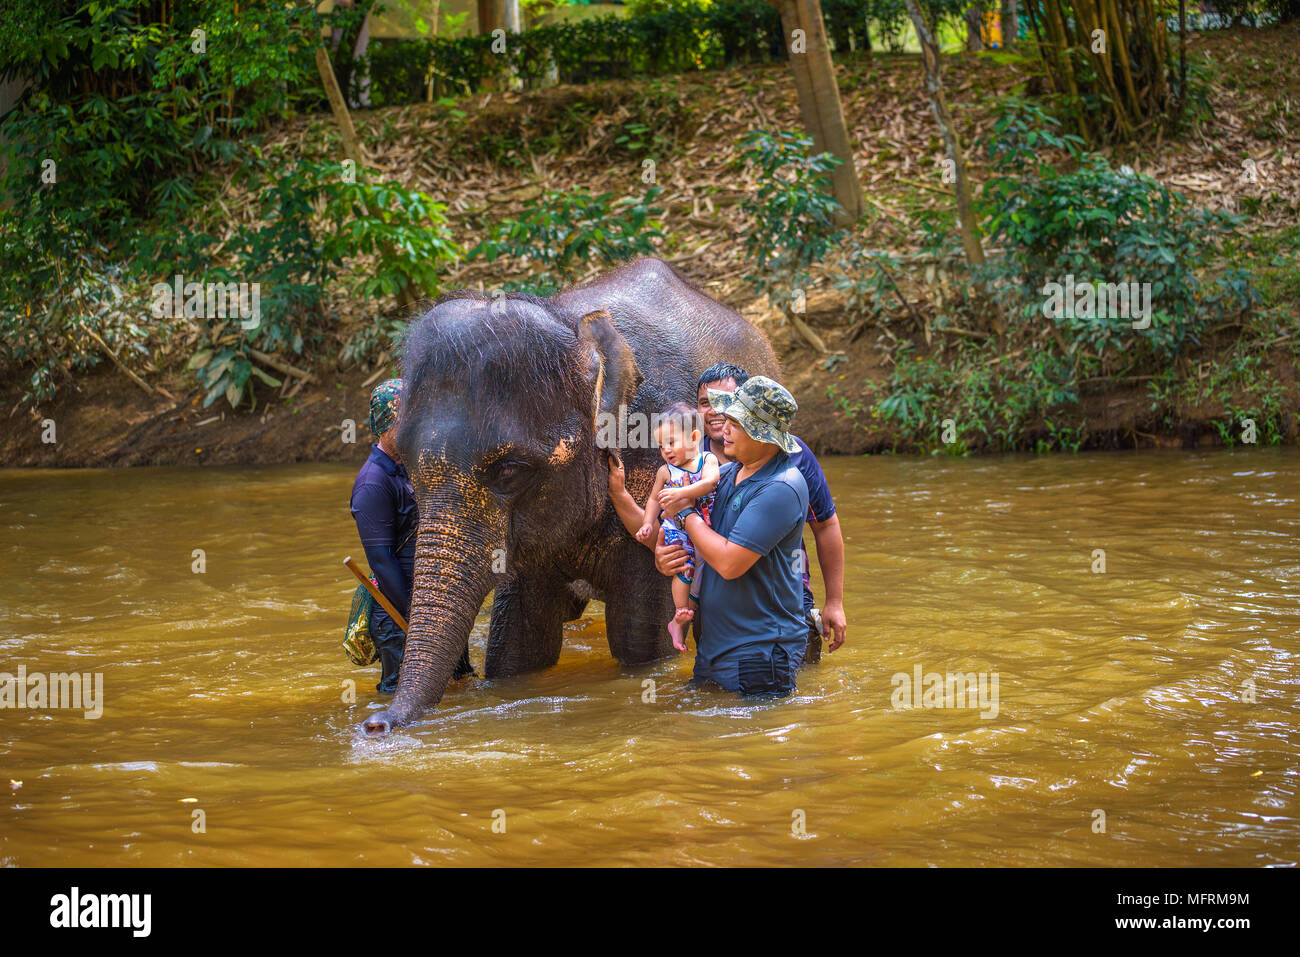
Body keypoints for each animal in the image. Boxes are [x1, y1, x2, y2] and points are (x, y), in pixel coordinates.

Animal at [361, 254, 774, 733]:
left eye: (510, 470)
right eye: (407, 466)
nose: (376, 724)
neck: (571, 327)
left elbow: (639, 642)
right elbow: (517, 650)